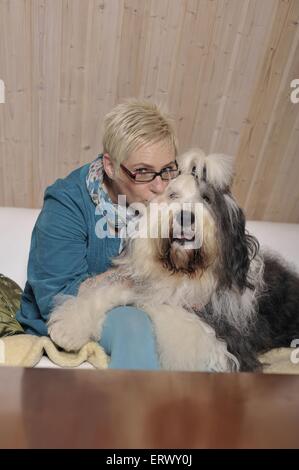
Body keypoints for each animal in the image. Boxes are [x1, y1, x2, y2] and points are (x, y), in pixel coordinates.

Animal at [48, 150, 299, 370]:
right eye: (173, 195)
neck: (182, 271)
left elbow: (169, 312)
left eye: (207, 198)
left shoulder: (225, 345)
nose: (185, 216)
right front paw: (69, 326)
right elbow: (110, 289)